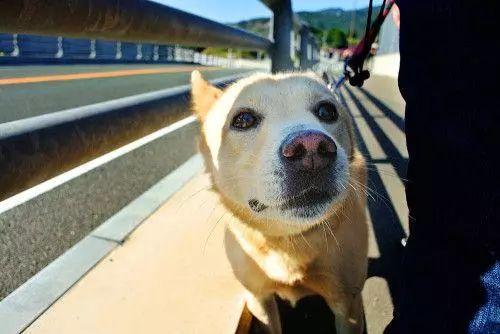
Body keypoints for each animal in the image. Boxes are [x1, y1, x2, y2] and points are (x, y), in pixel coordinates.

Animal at [190, 71, 368, 334]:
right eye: (243, 119)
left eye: (327, 111)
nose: (311, 148)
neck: (288, 240)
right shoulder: (258, 299)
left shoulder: (349, 307)